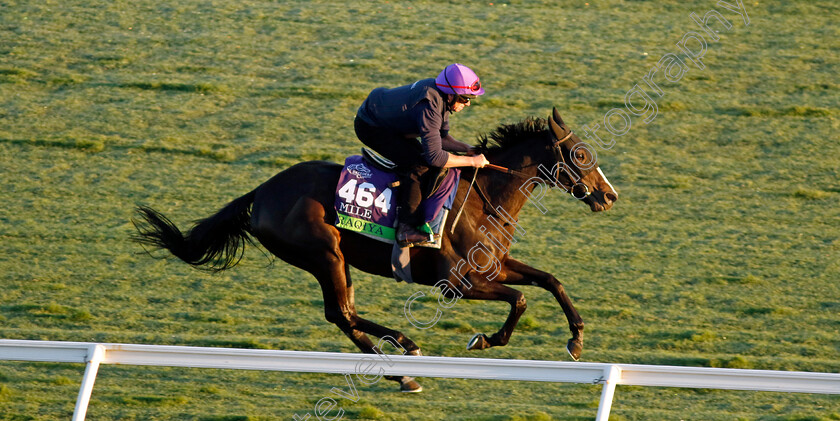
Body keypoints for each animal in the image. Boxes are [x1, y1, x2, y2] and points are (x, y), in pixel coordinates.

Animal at [131, 107, 616, 390]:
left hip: (332, 259)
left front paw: (576, 339)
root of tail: (262, 192)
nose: (608, 196)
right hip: (325, 254)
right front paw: (486, 339)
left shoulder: (492, 267)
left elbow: (550, 281)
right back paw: (405, 360)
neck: (485, 198)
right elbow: (519, 301)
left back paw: (403, 361)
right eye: (579, 154)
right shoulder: (457, 282)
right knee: (341, 313)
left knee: (342, 314)